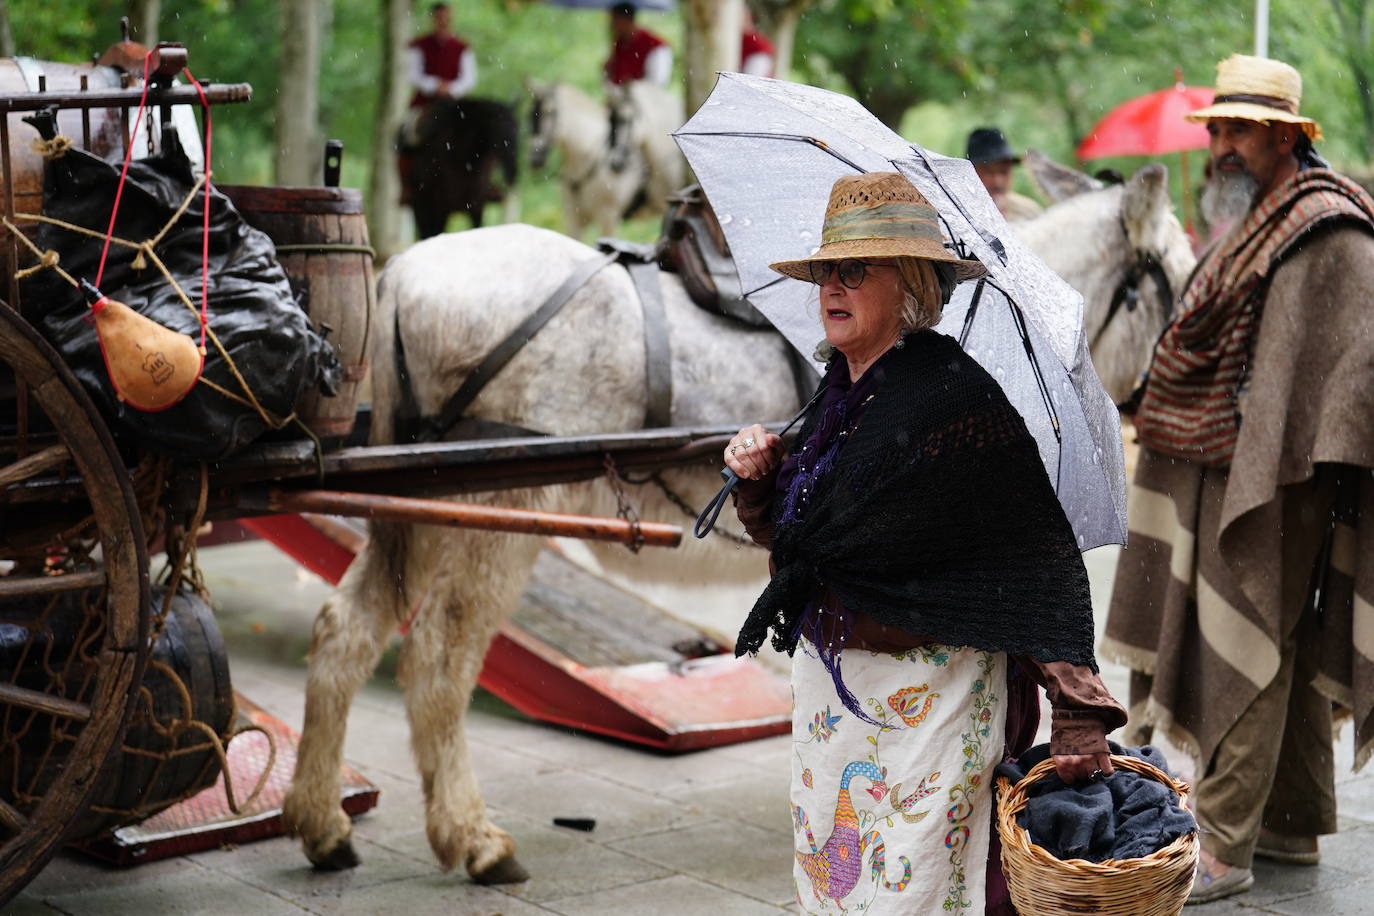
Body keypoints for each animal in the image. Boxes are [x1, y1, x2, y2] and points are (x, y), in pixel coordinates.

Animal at [284, 162, 1198, 878]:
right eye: (1178, 276)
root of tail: (404, 274)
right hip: (494, 520)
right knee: (438, 657)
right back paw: (470, 838)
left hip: (419, 513)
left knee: (344, 630)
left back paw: (321, 823)